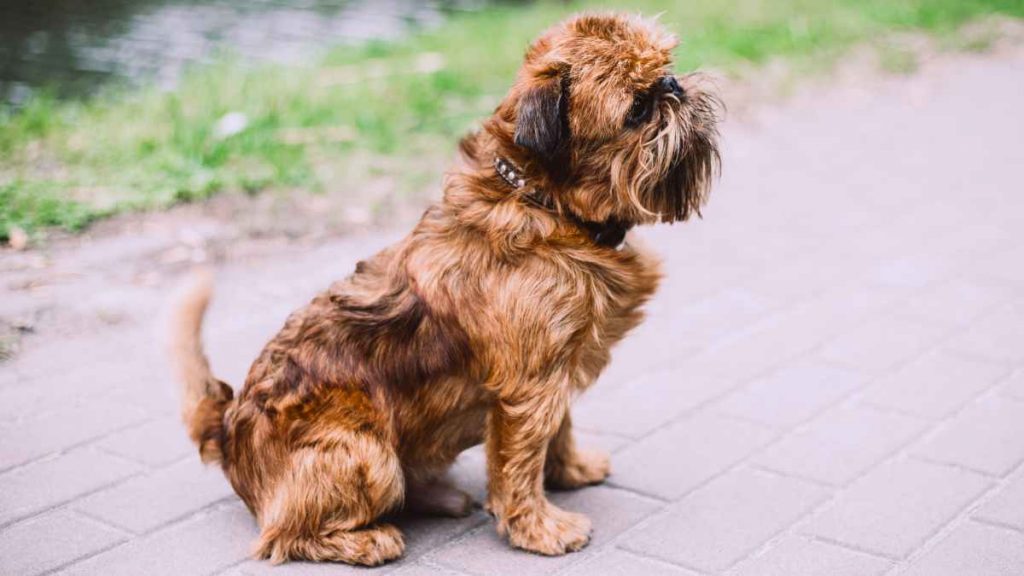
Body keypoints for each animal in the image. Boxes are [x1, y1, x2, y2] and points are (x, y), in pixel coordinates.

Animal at [172, 12, 720, 565]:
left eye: (666, 68)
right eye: (637, 108)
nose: (672, 85)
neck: (544, 204)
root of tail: (229, 429)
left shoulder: (555, 367)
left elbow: (559, 427)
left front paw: (569, 470)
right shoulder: (529, 388)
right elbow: (521, 462)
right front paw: (539, 527)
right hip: (364, 452)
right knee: (284, 534)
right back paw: (367, 538)